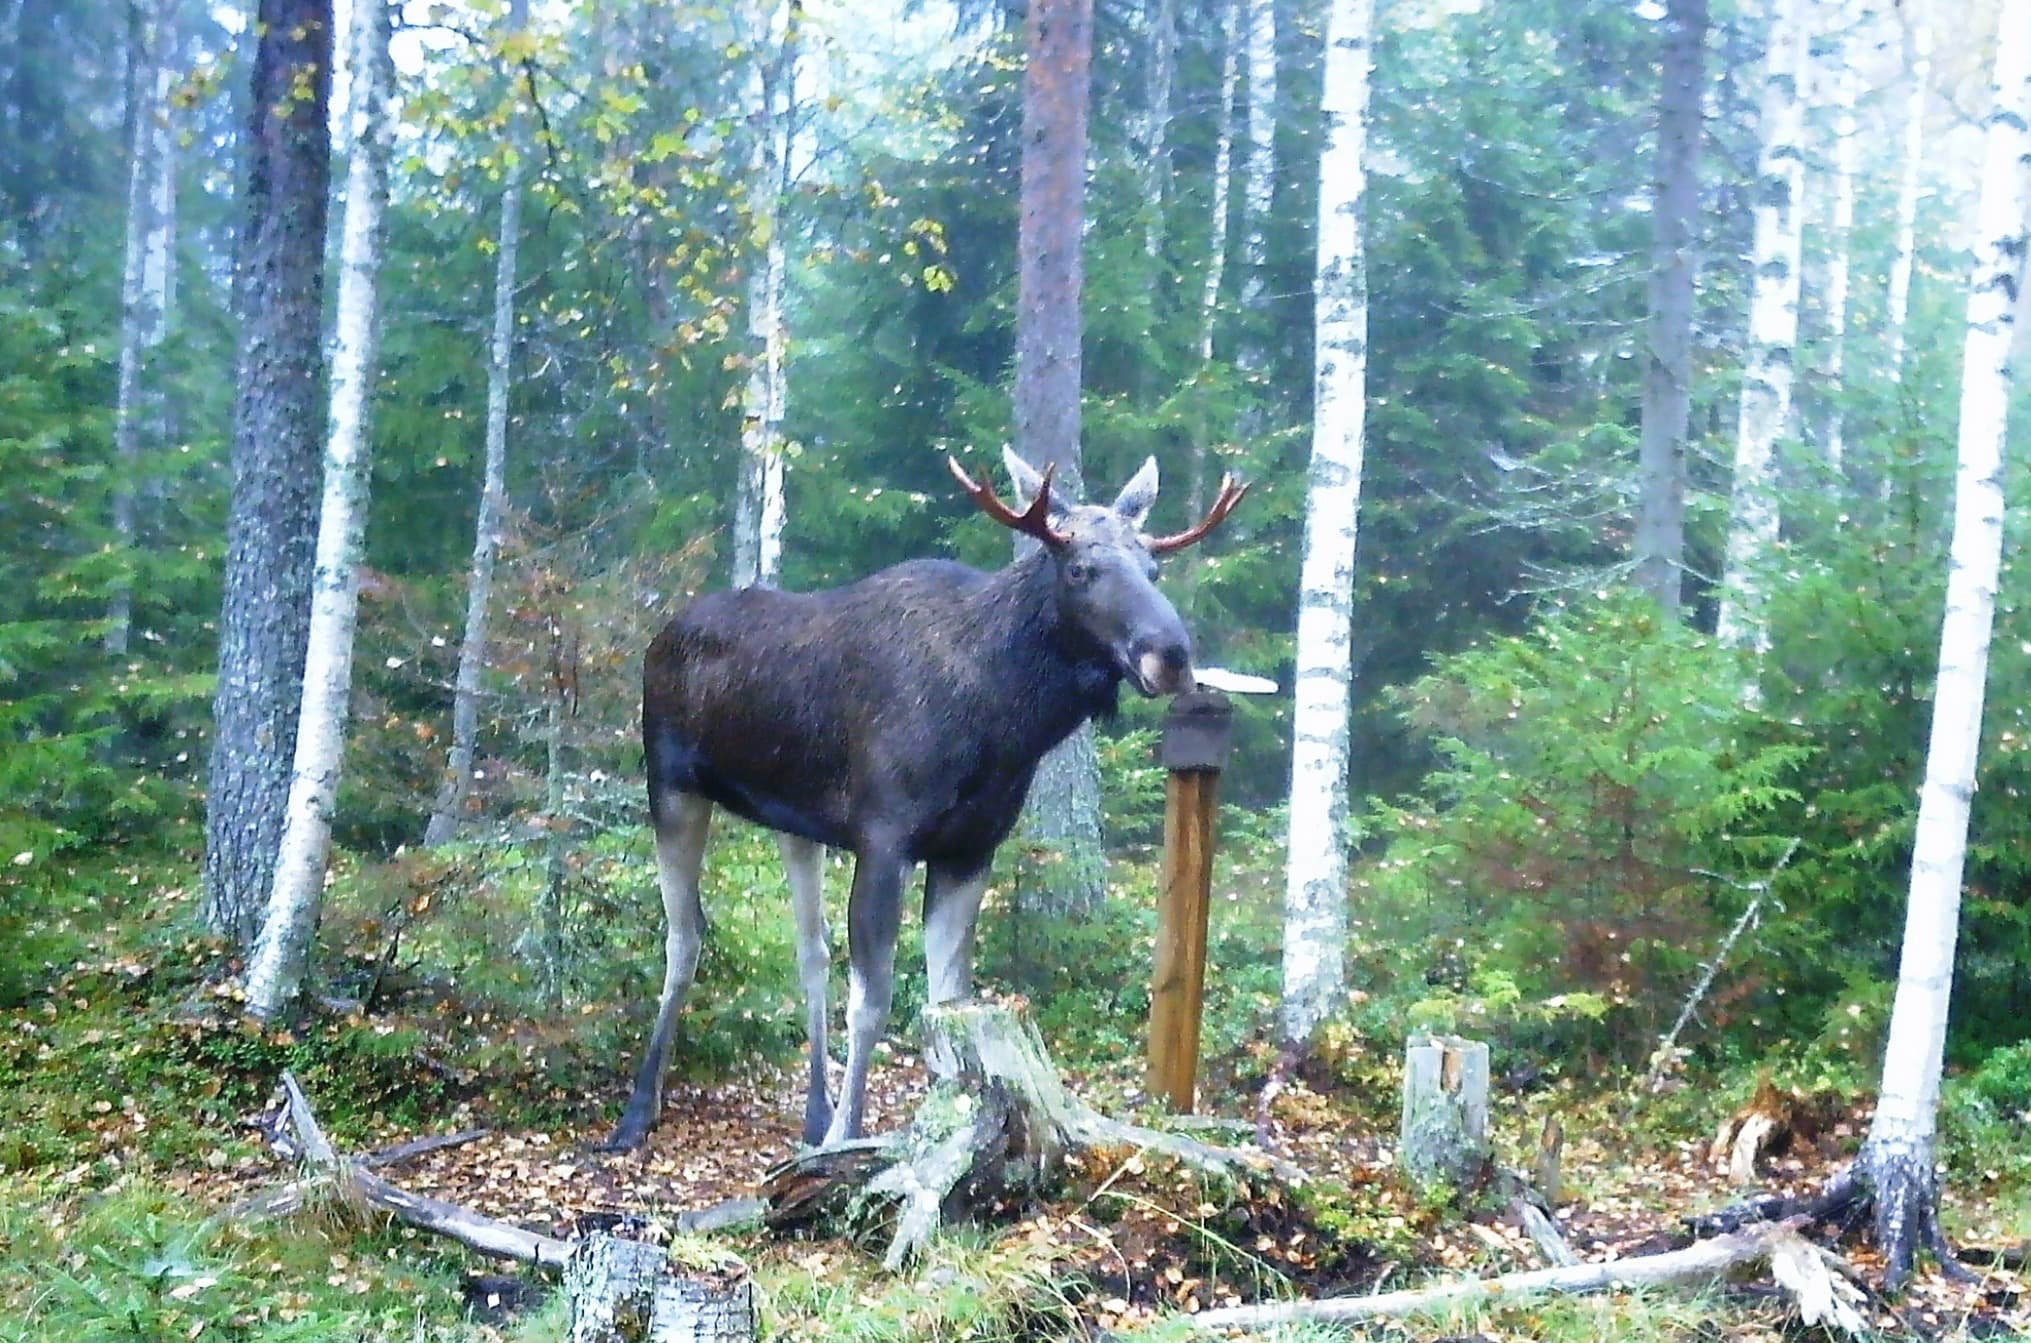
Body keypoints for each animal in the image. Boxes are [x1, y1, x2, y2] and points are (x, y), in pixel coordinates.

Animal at [601, 449, 1246, 1151]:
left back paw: (813, 1113)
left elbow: (948, 1001)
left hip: (794, 821)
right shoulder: (886, 839)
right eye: (1080, 568)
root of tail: (662, 634)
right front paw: (850, 1136)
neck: (1005, 723)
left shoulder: (971, 848)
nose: (1171, 655)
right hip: (671, 784)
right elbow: (874, 1001)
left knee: (809, 949)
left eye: (1153, 568)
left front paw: (951, 1119)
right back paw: (638, 1112)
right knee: (685, 937)